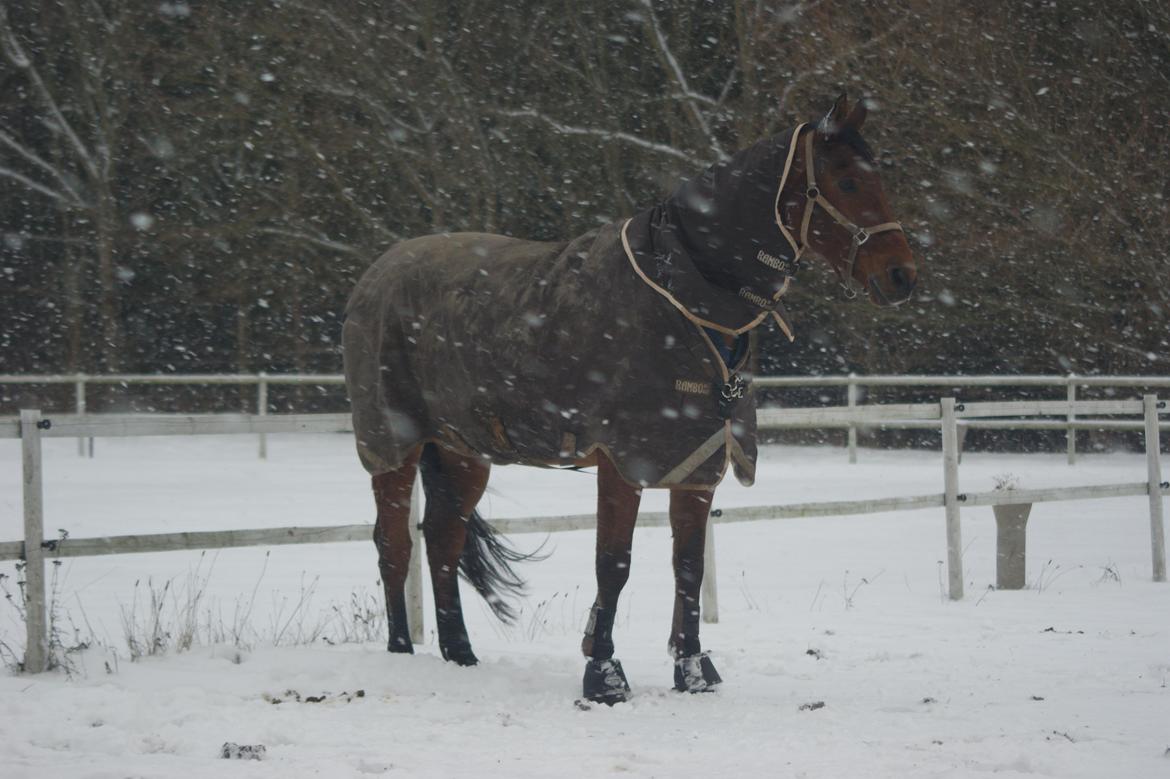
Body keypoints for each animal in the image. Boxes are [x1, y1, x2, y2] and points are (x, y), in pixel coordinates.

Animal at [341, 94, 917, 701]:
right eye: (847, 181)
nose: (902, 274)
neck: (684, 295)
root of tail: (374, 277)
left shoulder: (695, 462)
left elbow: (687, 566)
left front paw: (694, 670)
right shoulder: (623, 462)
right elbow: (613, 563)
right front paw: (604, 674)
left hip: (462, 452)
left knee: (443, 540)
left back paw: (461, 654)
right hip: (394, 446)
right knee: (394, 545)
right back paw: (401, 651)